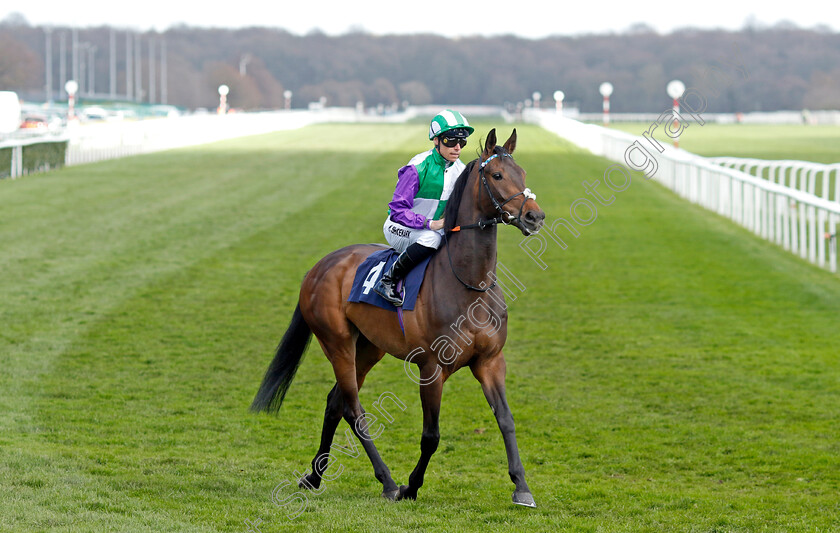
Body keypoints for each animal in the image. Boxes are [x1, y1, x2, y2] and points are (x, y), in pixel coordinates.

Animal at [249, 129, 548, 508]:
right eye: (496, 175)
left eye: (521, 173)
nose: (535, 217)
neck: (470, 283)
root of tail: (320, 265)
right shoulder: (432, 368)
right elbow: (431, 435)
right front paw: (411, 486)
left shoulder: (491, 361)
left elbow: (506, 421)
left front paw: (522, 487)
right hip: (336, 342)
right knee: (353, 410)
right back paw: (388, 481)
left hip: (368, 347)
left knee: (334, 403)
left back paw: (314, 477)